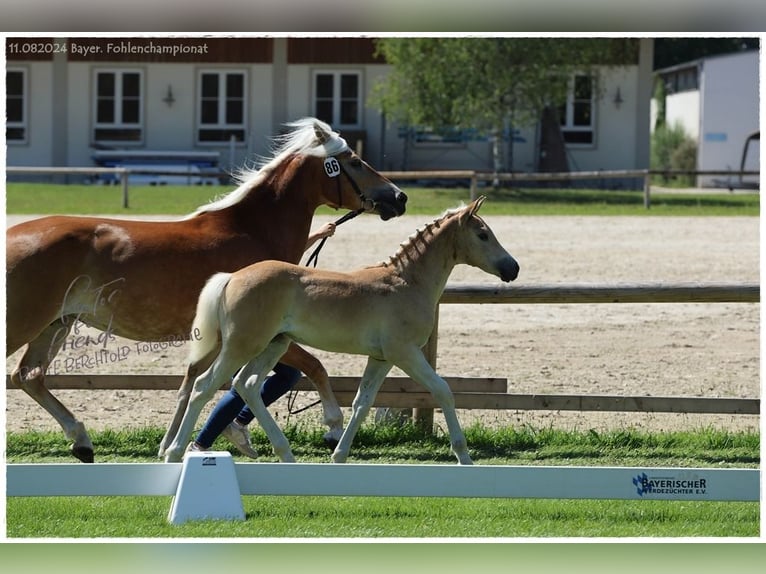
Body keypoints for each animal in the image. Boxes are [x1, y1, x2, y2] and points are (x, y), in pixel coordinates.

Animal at [164, 196, 520, 466]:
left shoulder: (381, 358)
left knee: (246, 385)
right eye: (483, 234)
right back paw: (174, 452)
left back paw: (286, 454)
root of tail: (232, 277)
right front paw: (464, 456)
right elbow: (443, 390)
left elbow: (362, 402)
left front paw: (339, 455)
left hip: (274, 345)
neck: (407, 283)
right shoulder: (405, 353)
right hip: (243, 345)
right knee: (203, 385)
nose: (512, 268)